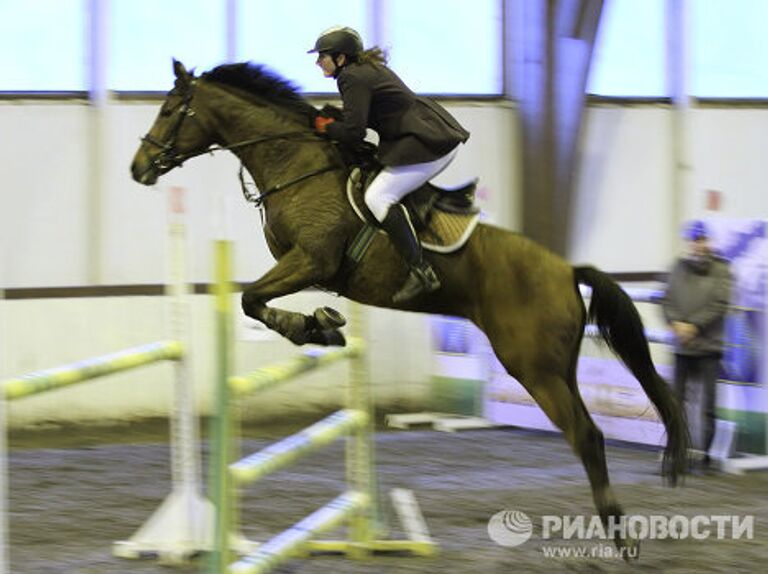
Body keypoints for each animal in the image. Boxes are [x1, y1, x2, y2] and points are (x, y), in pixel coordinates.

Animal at [132, 59, 688, 560]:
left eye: (169, 111)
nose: (138, 168)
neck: (296, 164)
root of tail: (567, 269)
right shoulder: (301, 265)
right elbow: (256, 300)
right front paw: (324, 324)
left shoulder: (311, 261)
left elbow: (251, 298)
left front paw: (312, 327)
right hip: (556, 365)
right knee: (585, 429)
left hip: (532, 366)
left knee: (587, 436)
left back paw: (619, 535)